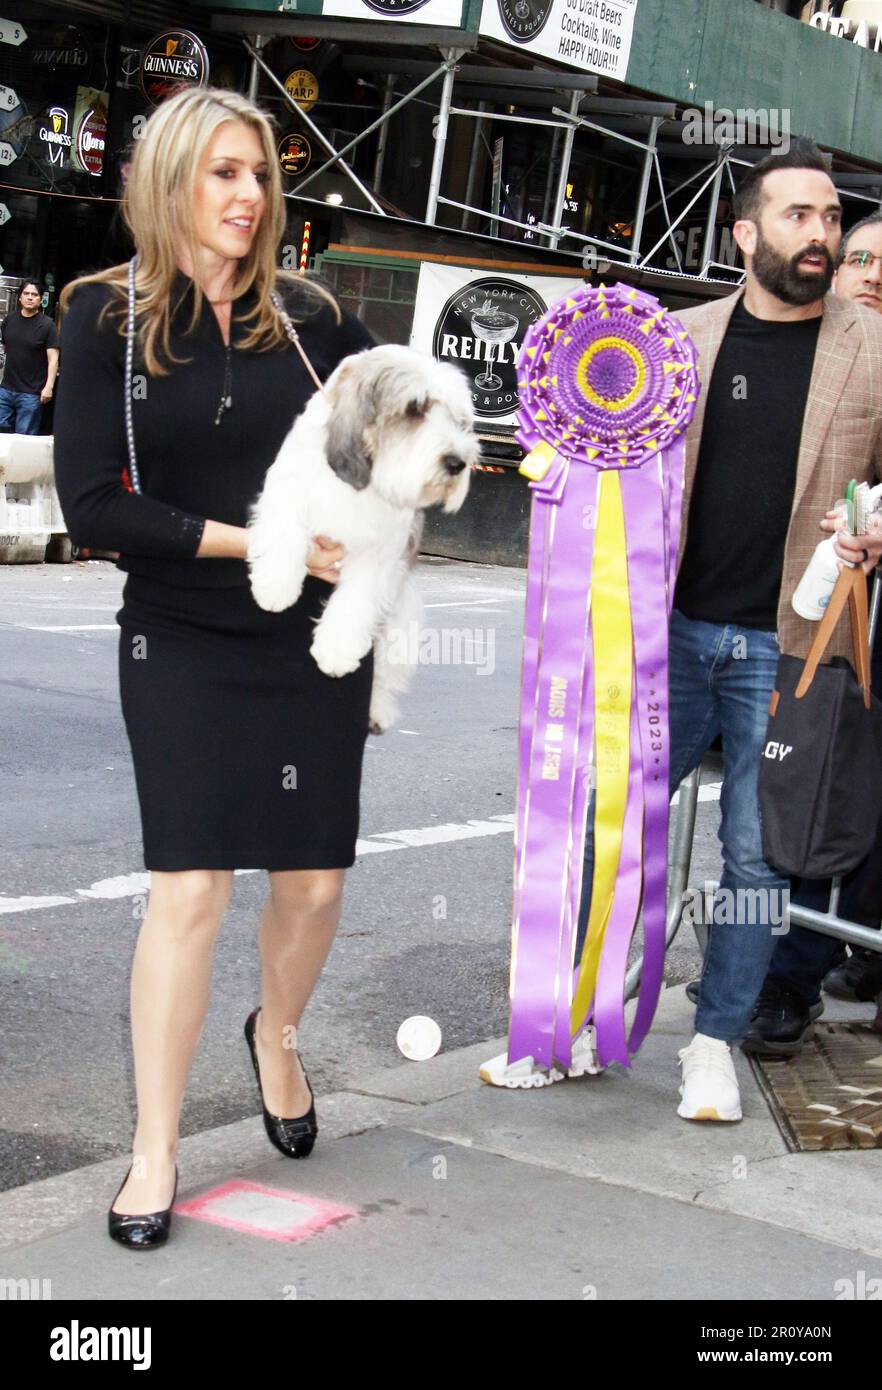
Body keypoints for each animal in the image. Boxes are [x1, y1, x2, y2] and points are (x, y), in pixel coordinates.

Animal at [244, 343, 480, 733]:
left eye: (457, 418)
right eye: (415, 408)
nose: (457, 463)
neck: (362, 479)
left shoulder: (382, 553)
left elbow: (356, 599)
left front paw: (336, 651)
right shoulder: (287, 492)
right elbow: (284, 530)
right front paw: (275, 587)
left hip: (402, 618)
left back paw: (377, 711)